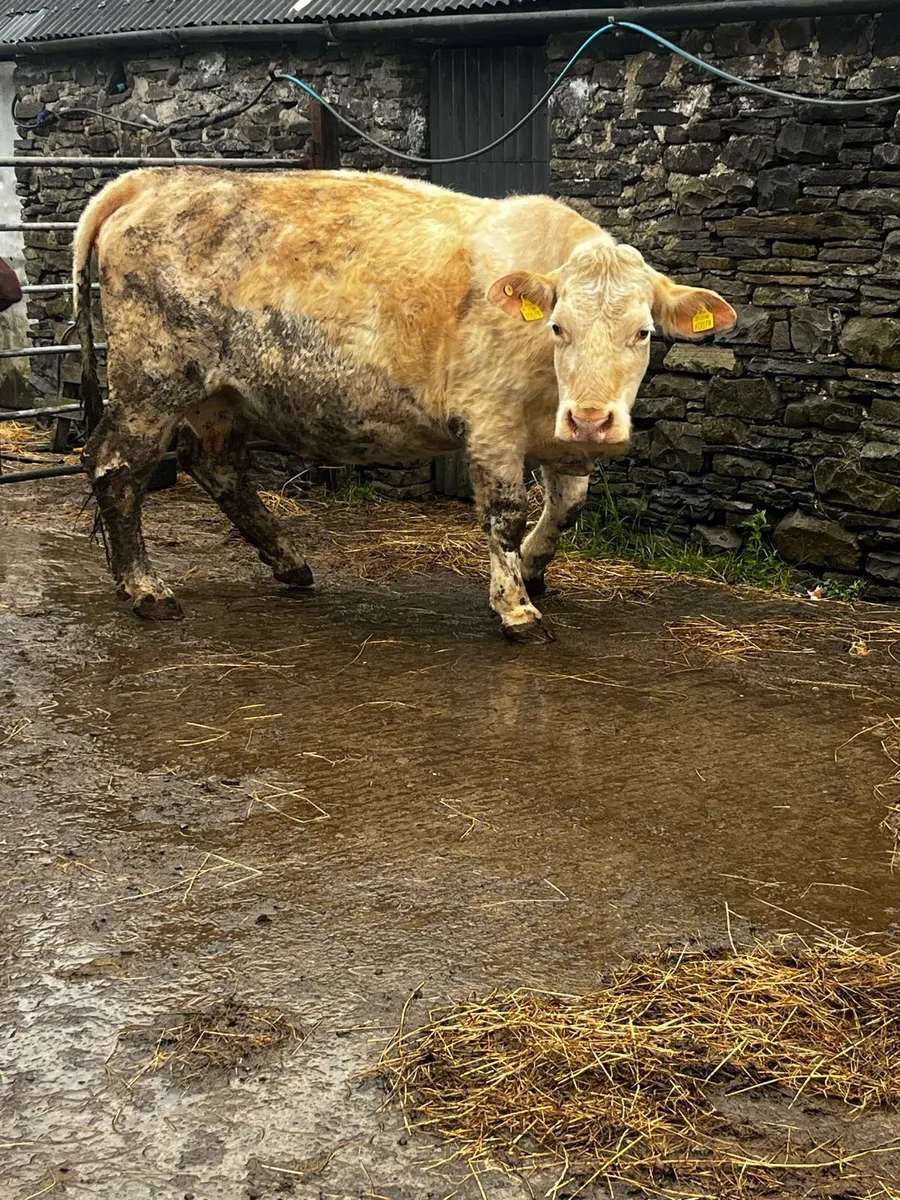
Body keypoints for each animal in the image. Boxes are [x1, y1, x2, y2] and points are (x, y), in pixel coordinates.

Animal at [74, 168, 736, 641]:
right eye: (558, 326)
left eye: (642, 332)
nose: (593, 418)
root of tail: (154, 179)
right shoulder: (491, 423)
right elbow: (505, 514)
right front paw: (515, 609)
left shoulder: (561, 437)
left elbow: (567, 506)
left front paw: (533, 569)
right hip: (152, 378)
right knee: (115, 465)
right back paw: (146, 590)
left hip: (218, 395)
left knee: (216, 467)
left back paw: (290, 564)